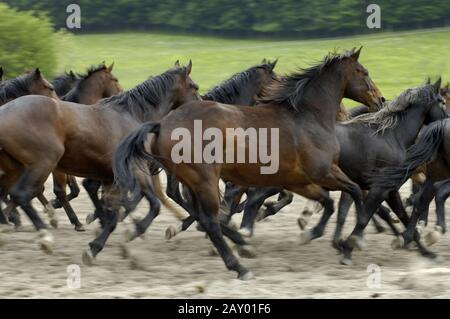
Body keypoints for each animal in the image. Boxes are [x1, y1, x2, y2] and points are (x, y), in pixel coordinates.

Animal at [113, 48, 384, 280]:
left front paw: (315, 234)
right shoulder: (323, 172)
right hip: (205, 179)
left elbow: (328, 202)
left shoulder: (299, 181)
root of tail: (161, 124)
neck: (307, 118)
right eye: (364, 72)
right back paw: (239, 265)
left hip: (194, 180)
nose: (380, 100)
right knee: (209, 220)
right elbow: (355, 193)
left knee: (197, 210)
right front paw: (353, 240)